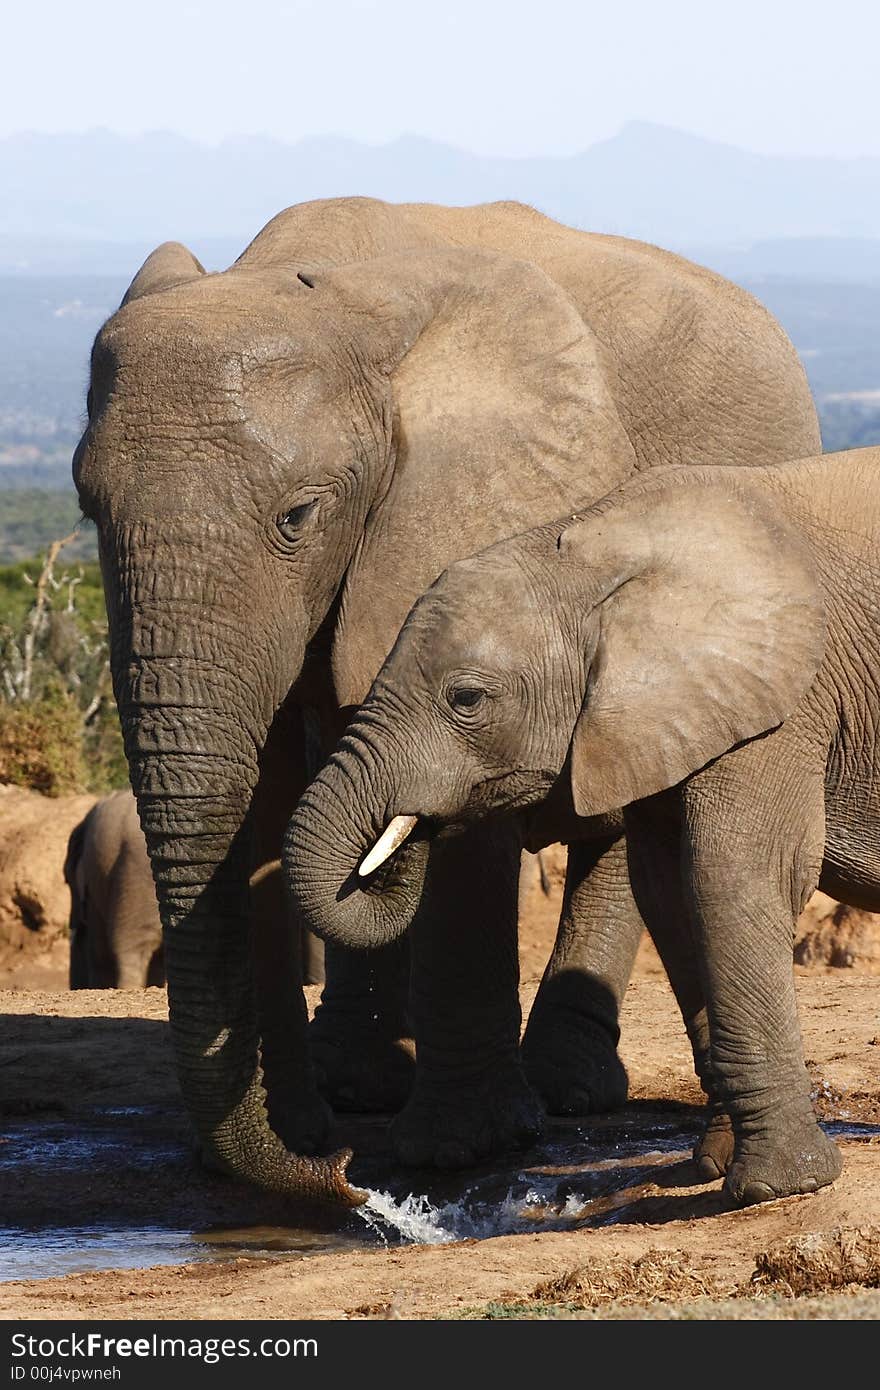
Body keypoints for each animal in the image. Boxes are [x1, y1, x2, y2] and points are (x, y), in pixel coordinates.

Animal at [286, 447, 878, 1206]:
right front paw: (715, 1167)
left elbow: (732, 876)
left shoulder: (787, 699)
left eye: (466, 699)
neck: (585, 554)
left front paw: (780, 1187)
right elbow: (669, 890)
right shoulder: (672, 715)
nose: (343, 1172)